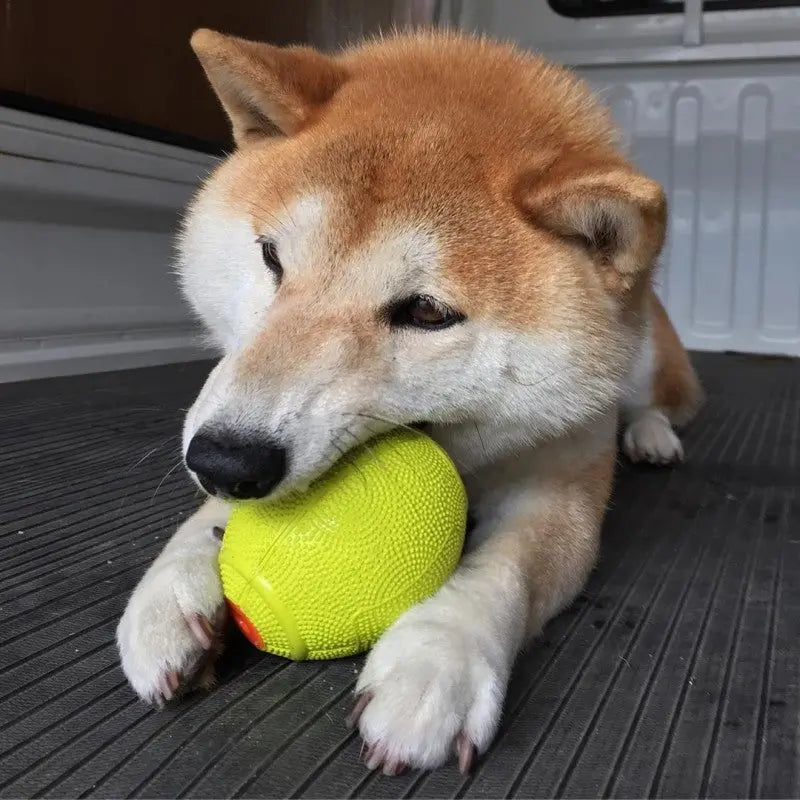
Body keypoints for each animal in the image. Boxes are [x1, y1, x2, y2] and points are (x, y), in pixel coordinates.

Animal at [117, 29, 700, 776]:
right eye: (271, 257)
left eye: (425, 313)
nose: (224, 462)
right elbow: (207, 523)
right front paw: (174, 583)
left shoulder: (563, 479)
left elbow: (510, 566)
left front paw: (437, 658)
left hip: (650, 356)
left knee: (658, 402)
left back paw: (652, 436)